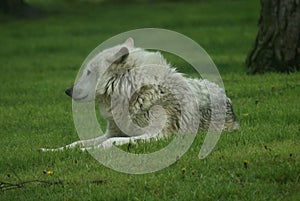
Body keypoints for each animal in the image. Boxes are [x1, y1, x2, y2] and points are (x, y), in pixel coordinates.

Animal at [42, 37, 239, 152]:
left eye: (89, 72)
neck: (135, 93)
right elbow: (77, 142)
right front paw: (53, 150)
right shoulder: (110, 132)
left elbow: (109, 142)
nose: (67, 91)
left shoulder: (157, 135)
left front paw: (89, 151)